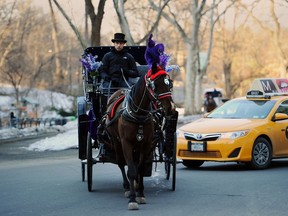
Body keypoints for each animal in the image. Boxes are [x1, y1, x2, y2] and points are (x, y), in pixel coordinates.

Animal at [103, 64, 176, 209]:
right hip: (116, 142)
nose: (170, 107)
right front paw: (132, 199)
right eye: (155, 85)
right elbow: (131, 169)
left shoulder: (145, 143)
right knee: (121, 163)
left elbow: (140, 168)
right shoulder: (126, 142)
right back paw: (127, 187)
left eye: (169, 83)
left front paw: (140, 193)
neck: (137, 114)